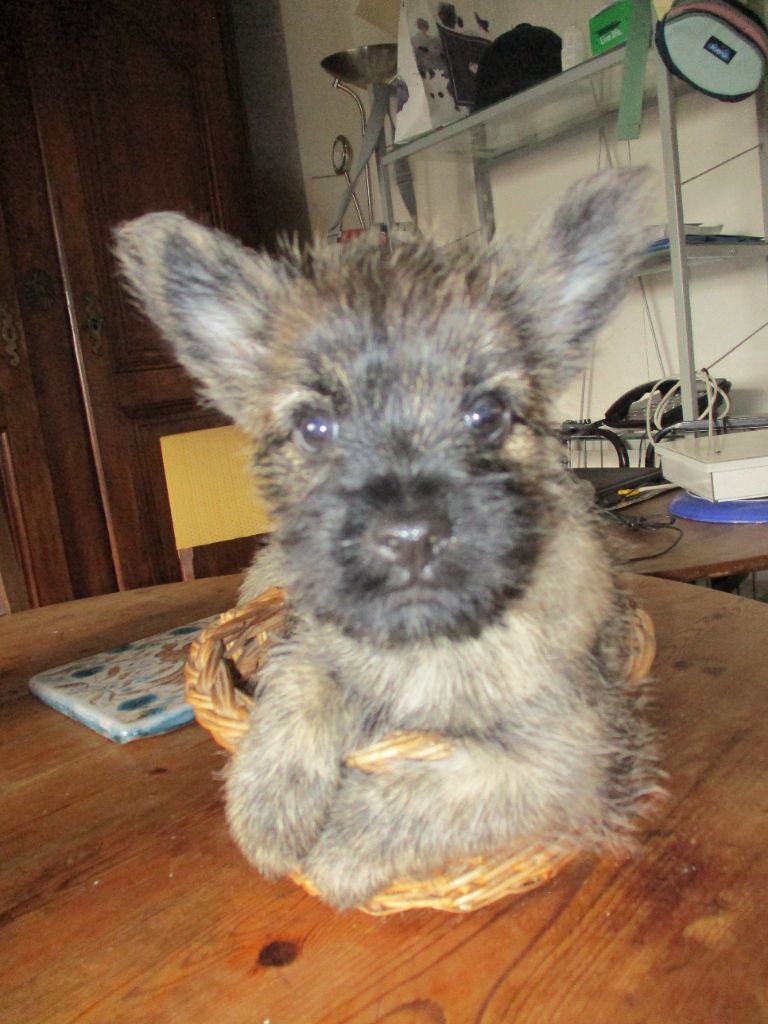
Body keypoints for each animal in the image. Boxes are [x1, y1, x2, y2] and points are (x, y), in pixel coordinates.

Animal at [115, 168, 663, 909]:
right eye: (315, 427)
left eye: (486, 413)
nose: (409, 537)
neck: (429, 644)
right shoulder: (320, 636)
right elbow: (303, 676)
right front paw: (268, 799)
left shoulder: (574, 751)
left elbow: (453, 788)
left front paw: (340, 851)